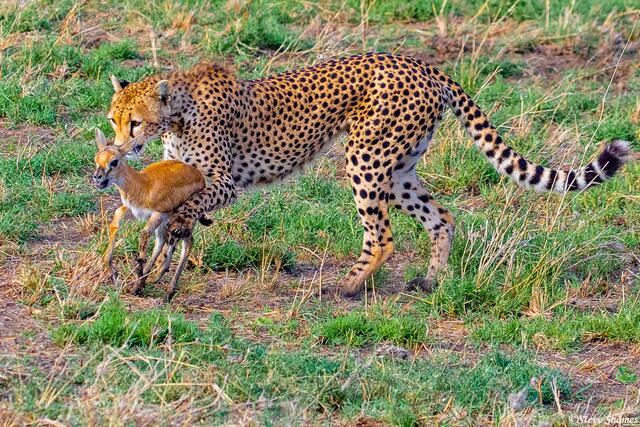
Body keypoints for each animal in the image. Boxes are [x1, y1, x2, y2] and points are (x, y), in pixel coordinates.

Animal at [92, 129, 211, 302]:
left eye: (114, 161)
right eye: (97, 158)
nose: (97, 177)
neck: (142, 185)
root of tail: (199, 177)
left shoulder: (158, 214)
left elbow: (144, 235)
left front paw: (136, 285)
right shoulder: (127, 208)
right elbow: (115, 225)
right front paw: (116, 274)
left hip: (181, 219)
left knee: (187, 242)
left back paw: (168, 292)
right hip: (168, 222)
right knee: (164, 241)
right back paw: (151, 279)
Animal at [106, 52, 631, 298]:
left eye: (134, 122)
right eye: (114, 119)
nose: (119, 145)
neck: (178, 111)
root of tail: (420, 64)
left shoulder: (223, 182)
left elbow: (191, 207)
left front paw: (168, 247)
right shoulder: (180, 176)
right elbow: (166, 218)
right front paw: (155, 262)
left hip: (364, 158)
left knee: (382, 235)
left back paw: (347, 285)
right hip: (398, 169)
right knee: (442, 218)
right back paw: (430, 282)